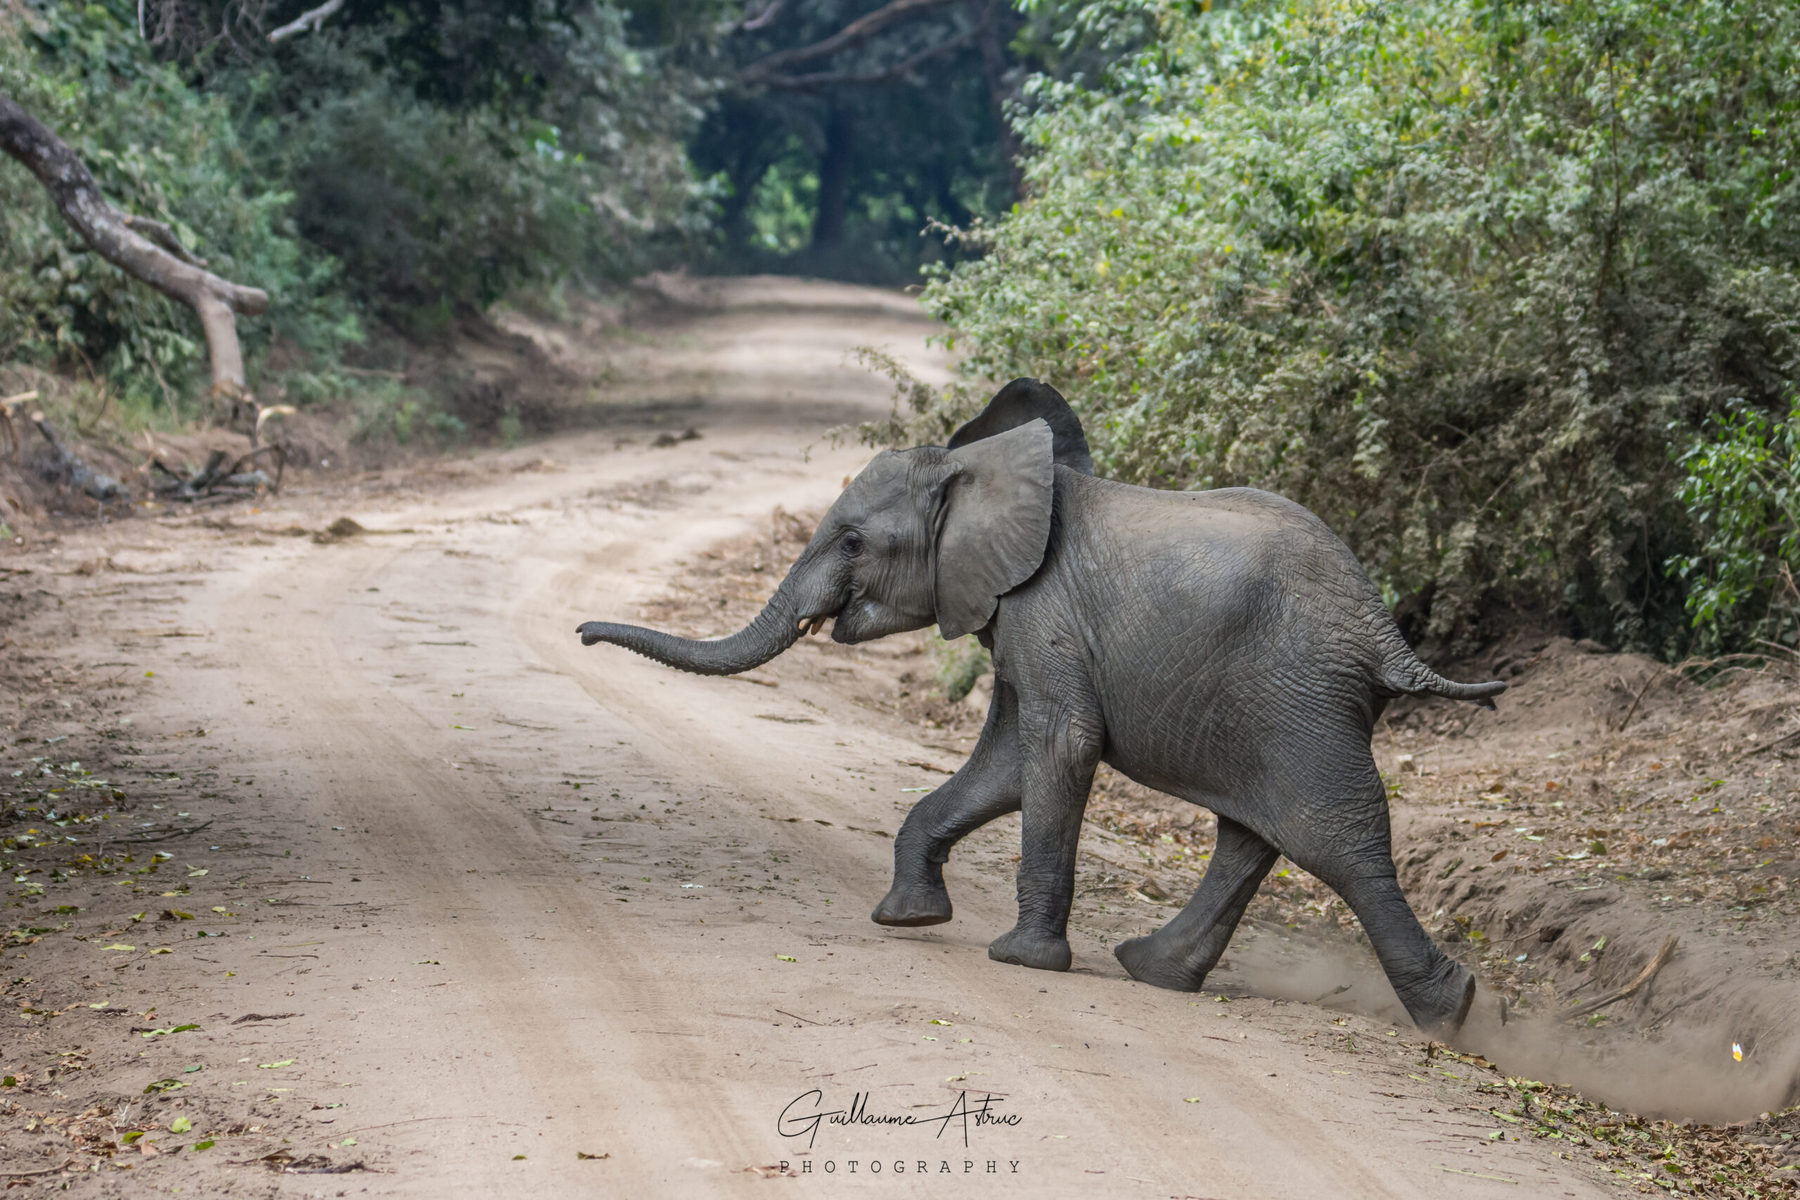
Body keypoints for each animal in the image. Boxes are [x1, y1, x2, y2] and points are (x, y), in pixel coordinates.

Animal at [579, 377, 1504, 1036]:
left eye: (851, 542)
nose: (582, 635)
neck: (976, 472)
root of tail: (1384, 632)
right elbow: (1004, 764)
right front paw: (907, 918)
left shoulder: (1042, 613)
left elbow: (1059, 747)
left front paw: (1019, 961)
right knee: (1254, 833)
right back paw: (1151, 969)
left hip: (1301, 695)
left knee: (1333, 838)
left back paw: (1451, 1014)